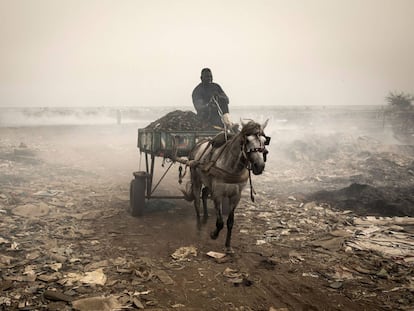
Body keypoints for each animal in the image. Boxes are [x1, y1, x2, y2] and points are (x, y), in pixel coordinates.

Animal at [184, 119, 268, 254]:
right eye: (247, 140)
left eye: (265, 141)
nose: (259, 166)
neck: (231, 167)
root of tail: (199, 143)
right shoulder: (218, 194)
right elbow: (220, 222)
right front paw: (214, 234)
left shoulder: (235, 196)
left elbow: (230, 222)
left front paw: (228, 246)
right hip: (195, 177)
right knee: (197, 200)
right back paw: (199, 223)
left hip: (209, 182)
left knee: (204, 193)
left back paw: (206, 215)